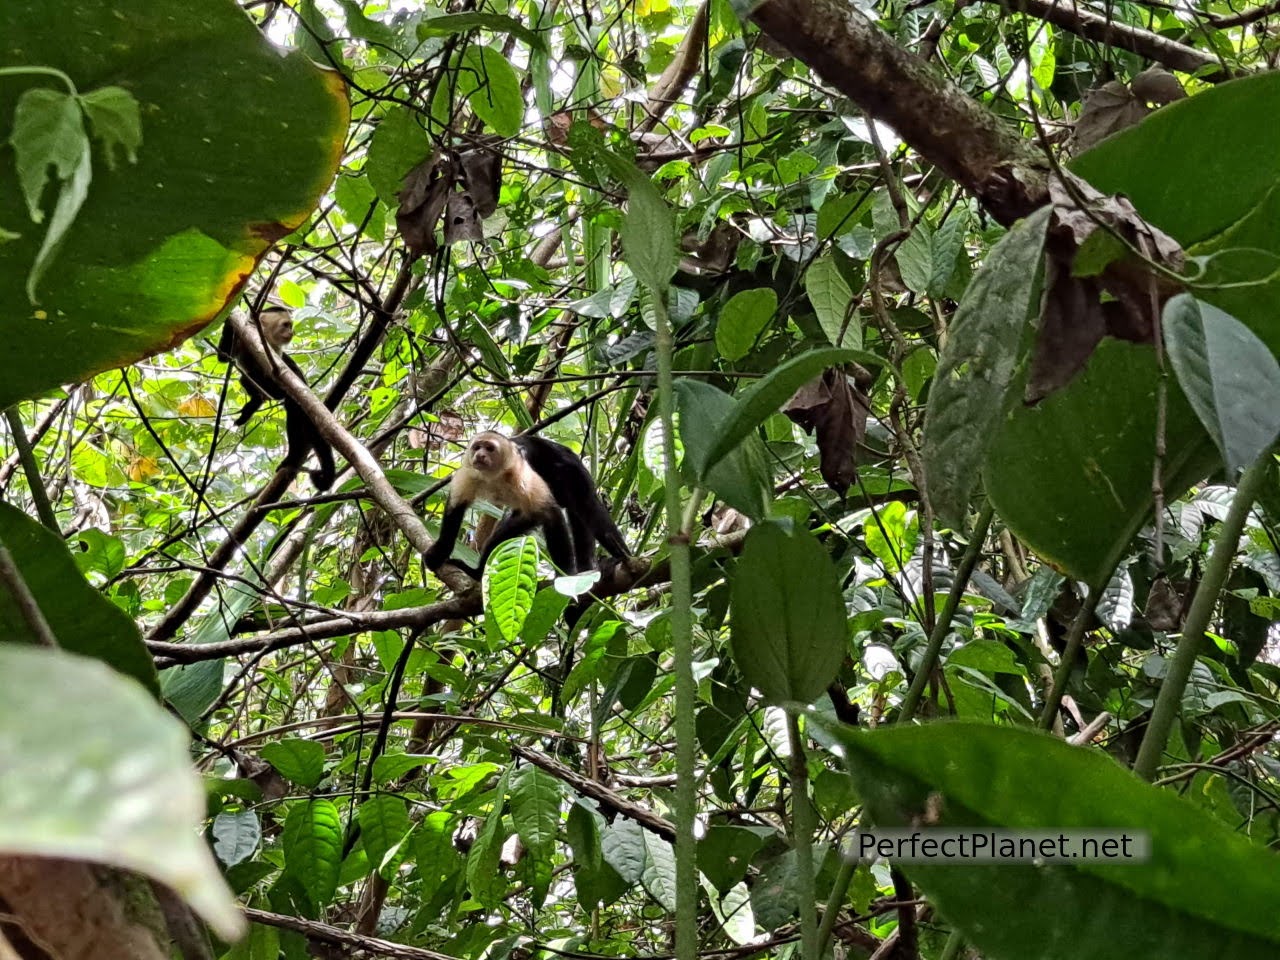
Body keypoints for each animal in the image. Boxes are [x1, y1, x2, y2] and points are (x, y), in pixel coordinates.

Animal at [216, 305, 337, 491]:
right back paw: (253, 404)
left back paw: (292, 456)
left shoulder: (273, 352)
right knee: (246, 379)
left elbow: (278, 375)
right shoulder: (244, 340)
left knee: (291, 405)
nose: (292, 332)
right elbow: (223, 356)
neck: (263, 338)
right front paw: (230, 319)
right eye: (286, 325)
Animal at [427, 435, 632, 578]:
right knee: (507, 532)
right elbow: (456, 505)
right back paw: (477, 573)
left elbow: (552, 513)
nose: (480, 454)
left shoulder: (521, 470)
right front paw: (439, 553)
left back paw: (621, 556)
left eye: (489, 448)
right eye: (477, 447)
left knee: (586, 505)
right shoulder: (470, 472)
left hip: (574, 474)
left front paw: (565, 576)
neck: (495, 475)